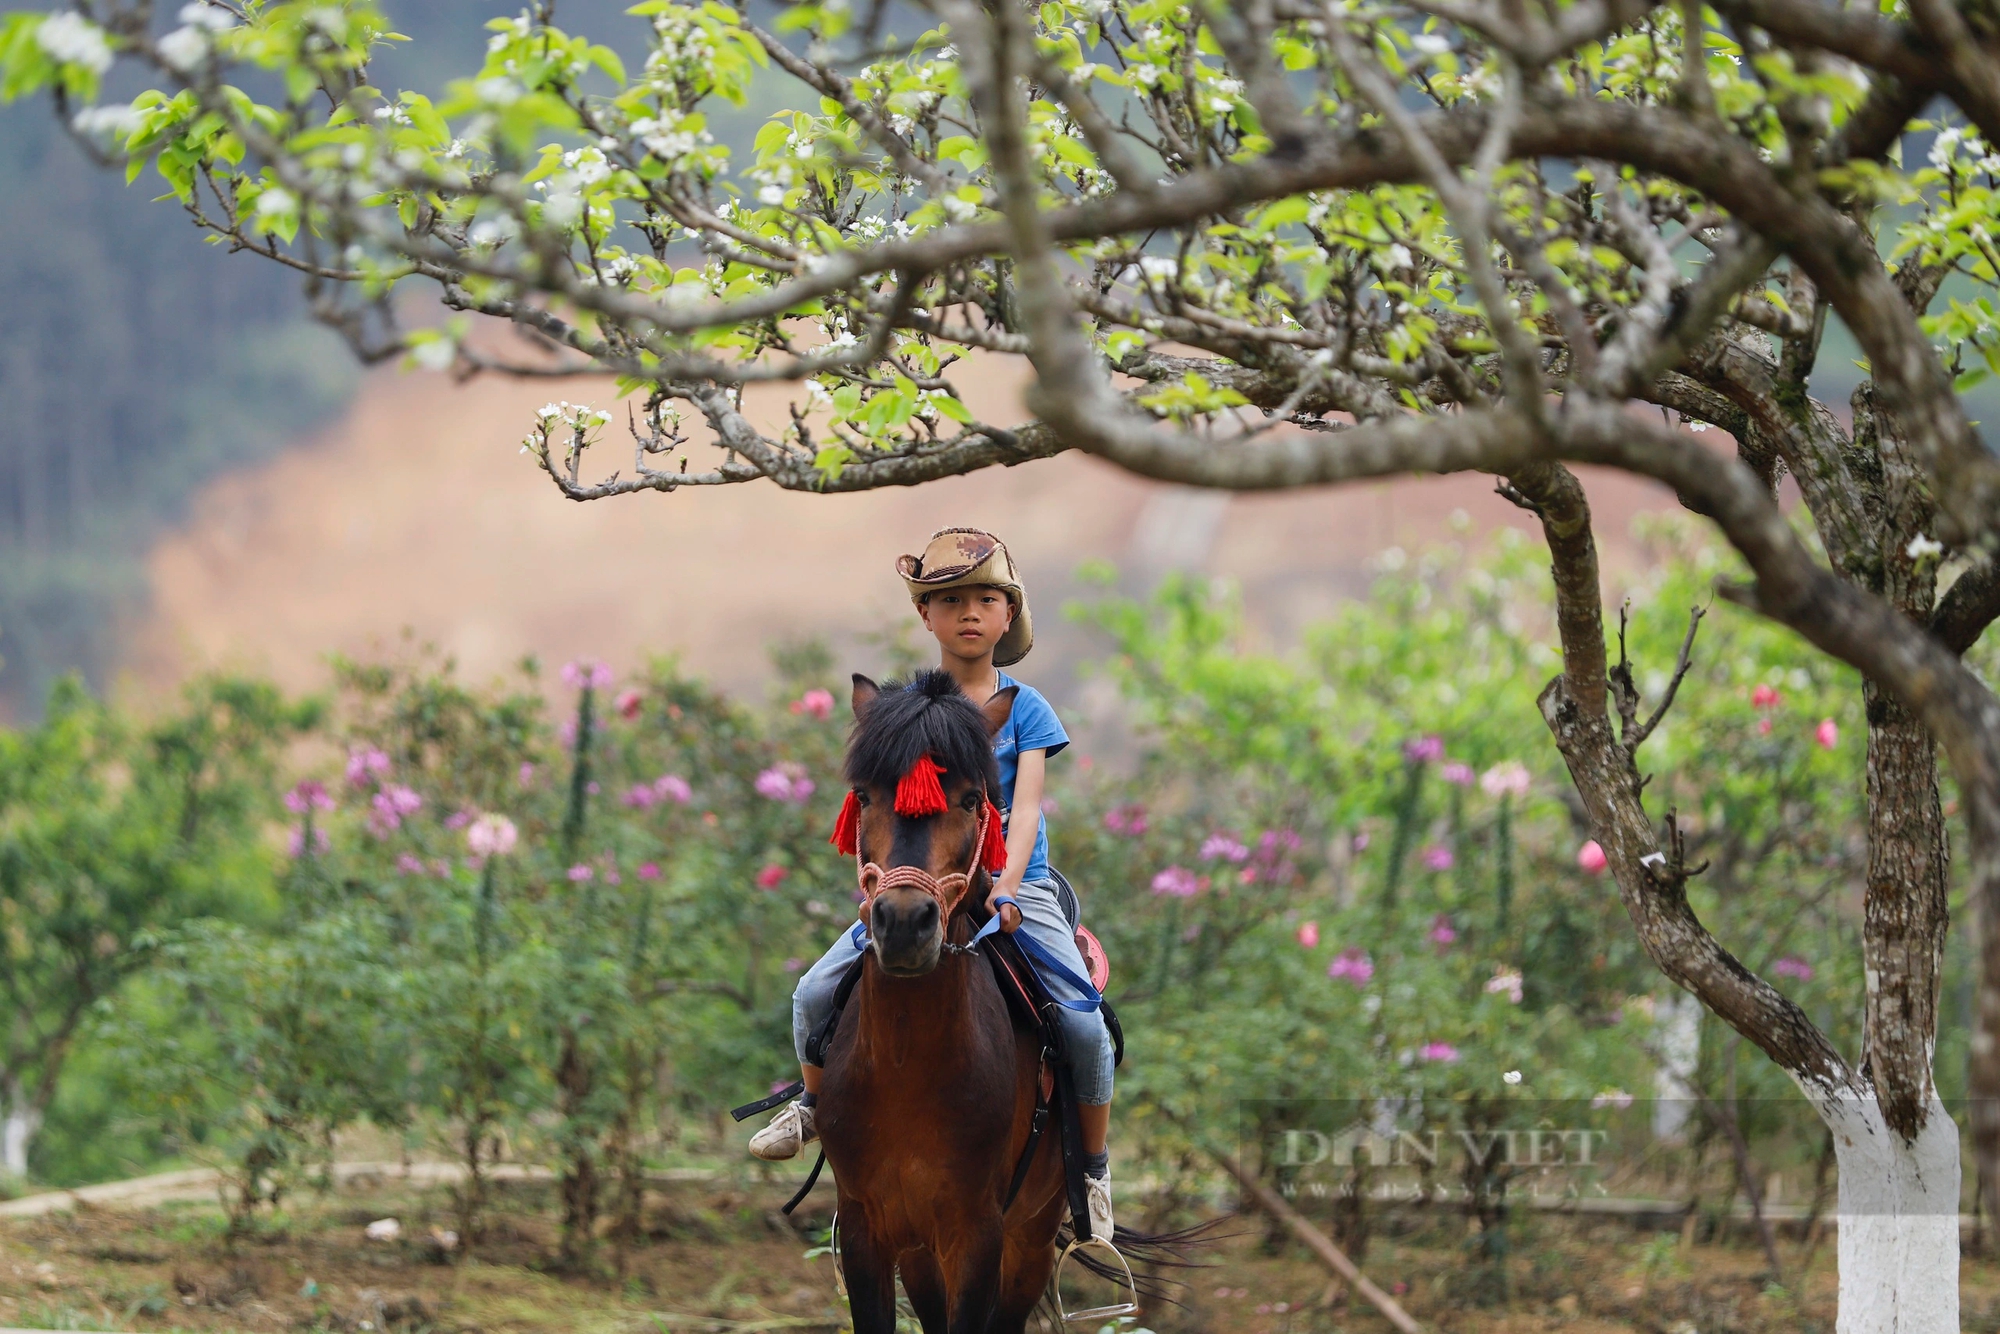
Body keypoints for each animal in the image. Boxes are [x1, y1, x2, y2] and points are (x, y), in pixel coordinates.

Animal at [812, 672, 1072, 1328]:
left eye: (972, 799)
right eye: (864, 796)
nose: (905, 923)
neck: (907, 1065)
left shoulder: (977, 1234)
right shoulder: (867, 1227)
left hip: (1033, 1234)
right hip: (920, 1249)